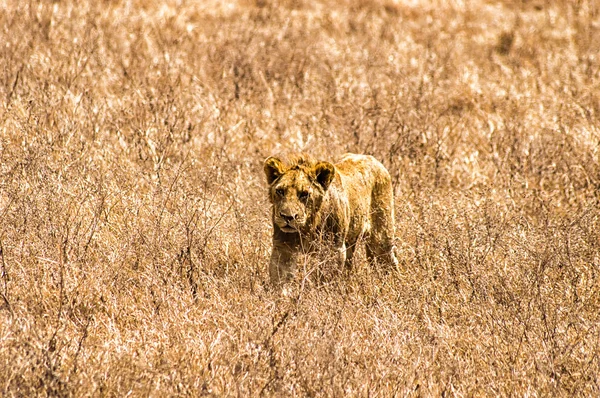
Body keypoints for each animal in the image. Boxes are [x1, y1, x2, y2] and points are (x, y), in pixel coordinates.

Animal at [264, 152, 398, 282]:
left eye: (304, 194)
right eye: (280, 191)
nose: (287, 217)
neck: (308, 226)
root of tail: (372, 158)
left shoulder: (334, 249)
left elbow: (327, 278)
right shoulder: (282, 247)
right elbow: (280, 279)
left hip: (381, 239)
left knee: (389, 261)